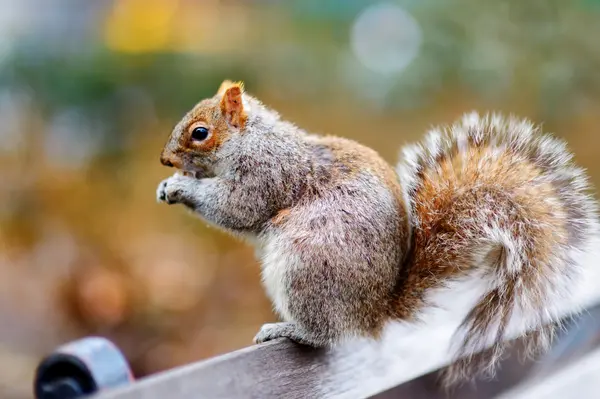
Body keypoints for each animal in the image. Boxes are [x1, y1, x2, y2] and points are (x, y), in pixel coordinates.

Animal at [157, 80, 596, 388]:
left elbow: (237, 207)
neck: (250, 139)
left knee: (324, 334)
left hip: (306, 264)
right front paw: (168, 185)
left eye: (199, 132)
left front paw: (182, 188)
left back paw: (287, 329)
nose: (165, 160)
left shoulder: (266, 173)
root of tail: (372, 313)